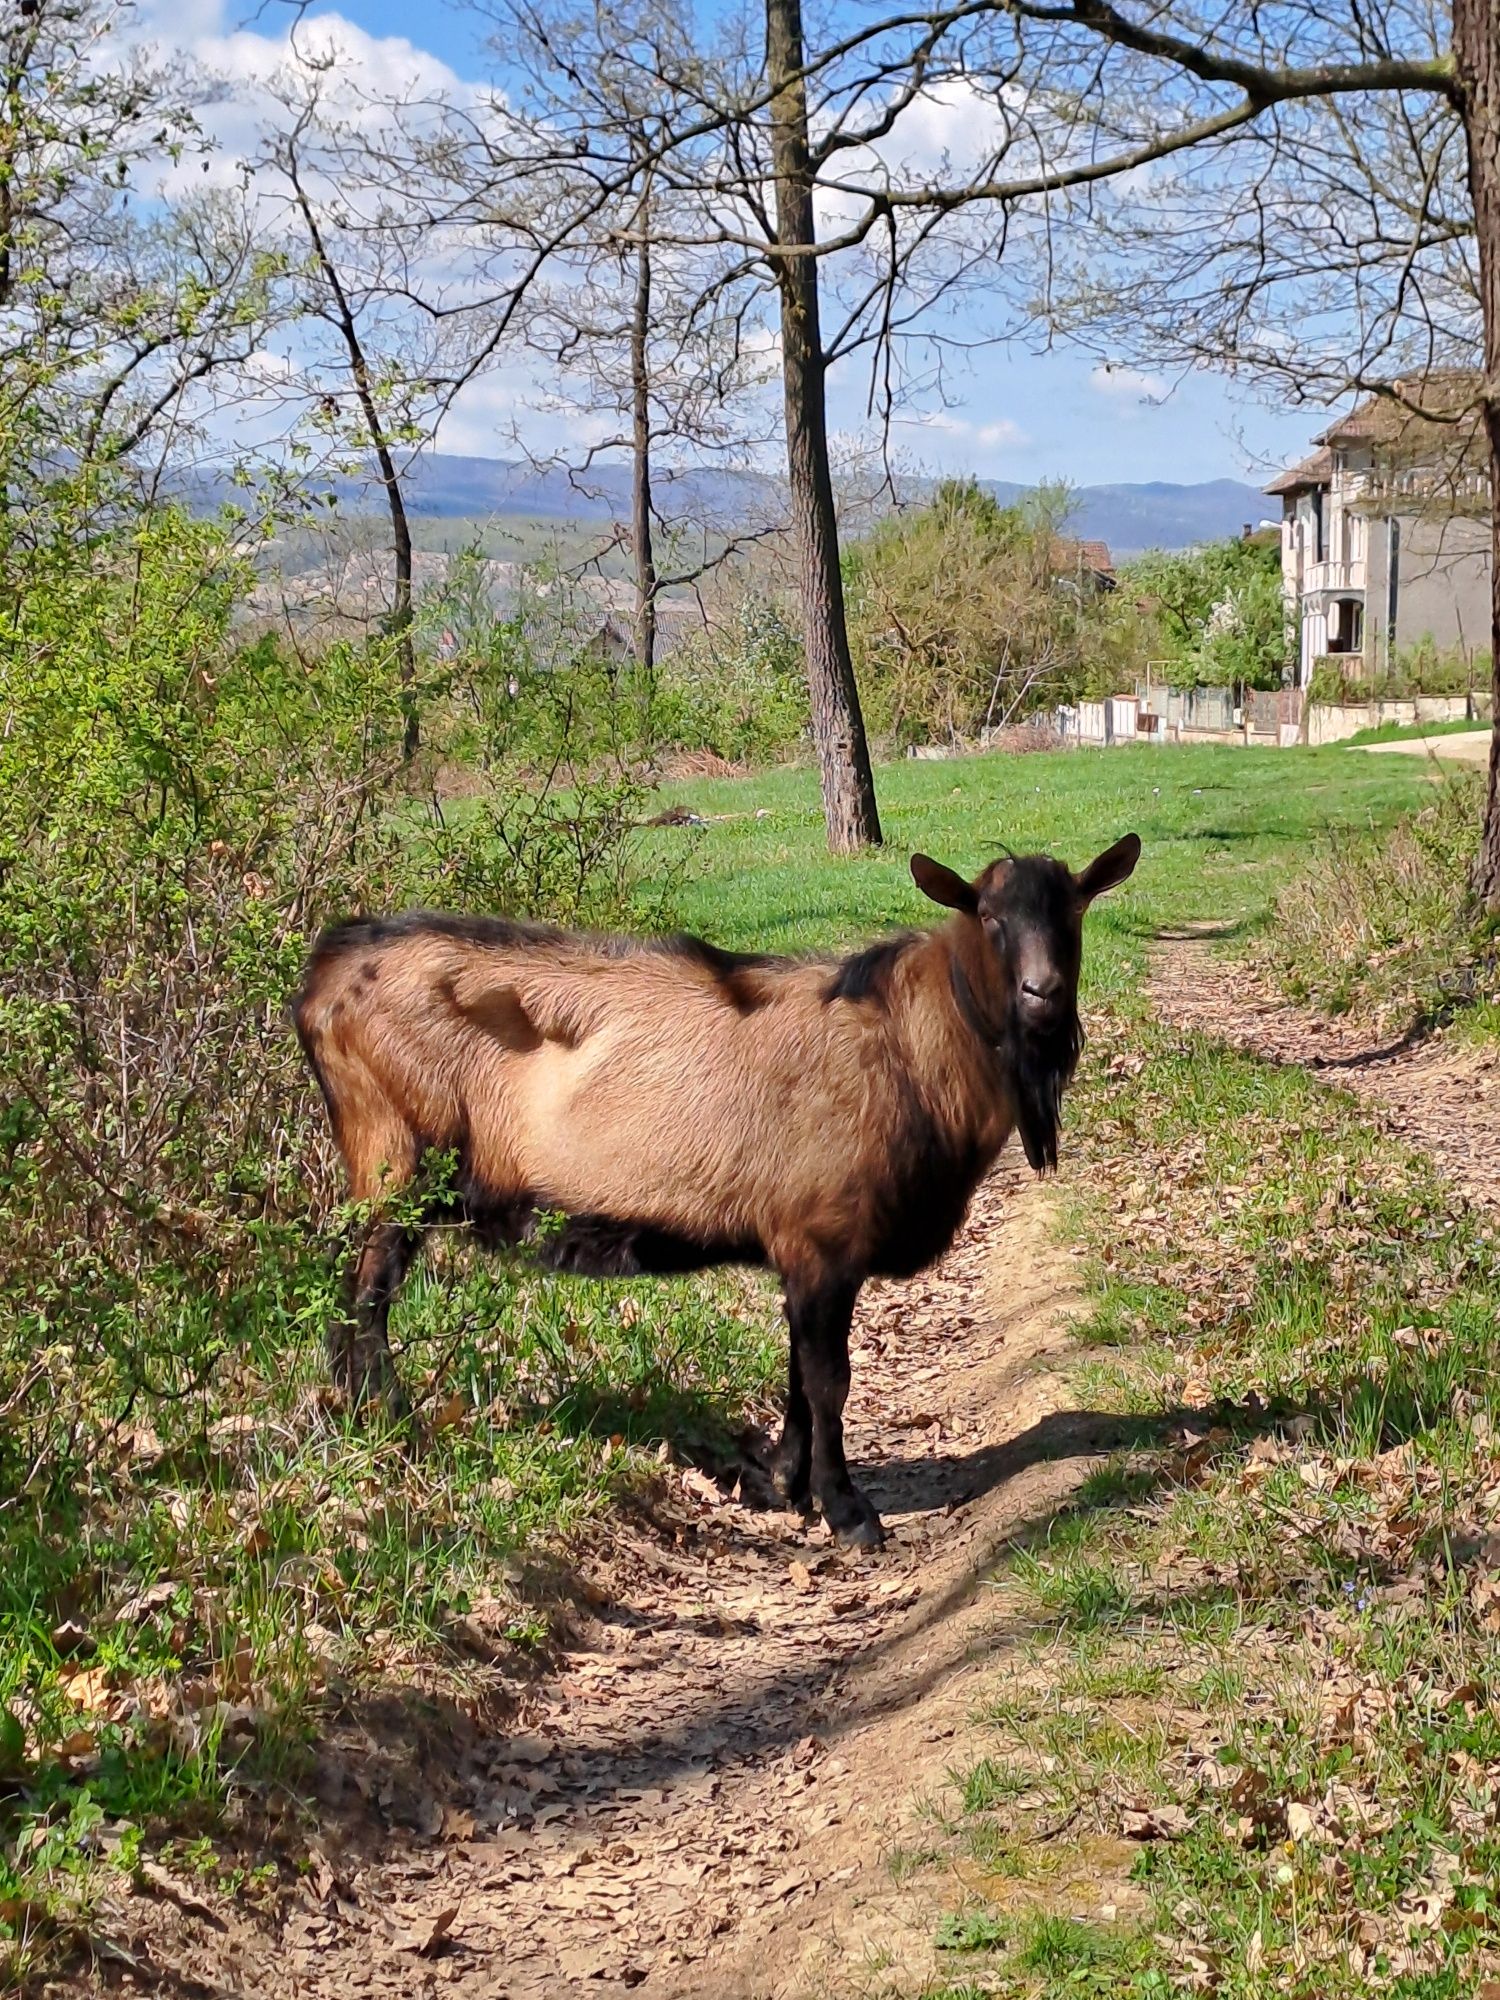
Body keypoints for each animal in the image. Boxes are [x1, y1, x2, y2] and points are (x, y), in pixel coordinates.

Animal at [294, 836, 1136, 1552]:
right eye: (990, 918)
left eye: (1074, 912)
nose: (1042, 994)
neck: (909, 1044)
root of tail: (326, 969)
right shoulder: (822, 1239)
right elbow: (829, 1379)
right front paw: (847, 1510)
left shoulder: (804, 1249)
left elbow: (799, 1372)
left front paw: (783, 1483)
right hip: (395, 1160)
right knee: (363, 1300)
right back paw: (389, 1423)